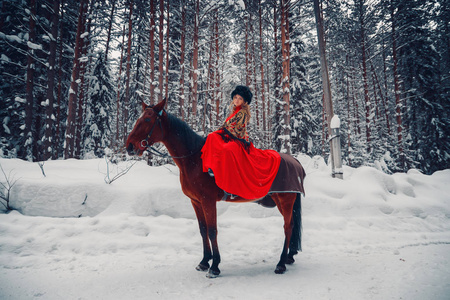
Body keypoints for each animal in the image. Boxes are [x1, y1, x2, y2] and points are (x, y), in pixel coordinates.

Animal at [126, 99, 302, 278]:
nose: (130, 146)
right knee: (292, 226)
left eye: (147, 119)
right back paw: (289, 257)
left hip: (285, 201)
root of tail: (295, 161)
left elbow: (212, 231)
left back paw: (281, 263)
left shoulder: (208, 201)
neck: (195, 159)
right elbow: (203, 230)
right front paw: (204, 261)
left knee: (287, 227)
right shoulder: (196, 202)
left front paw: (215, 266)